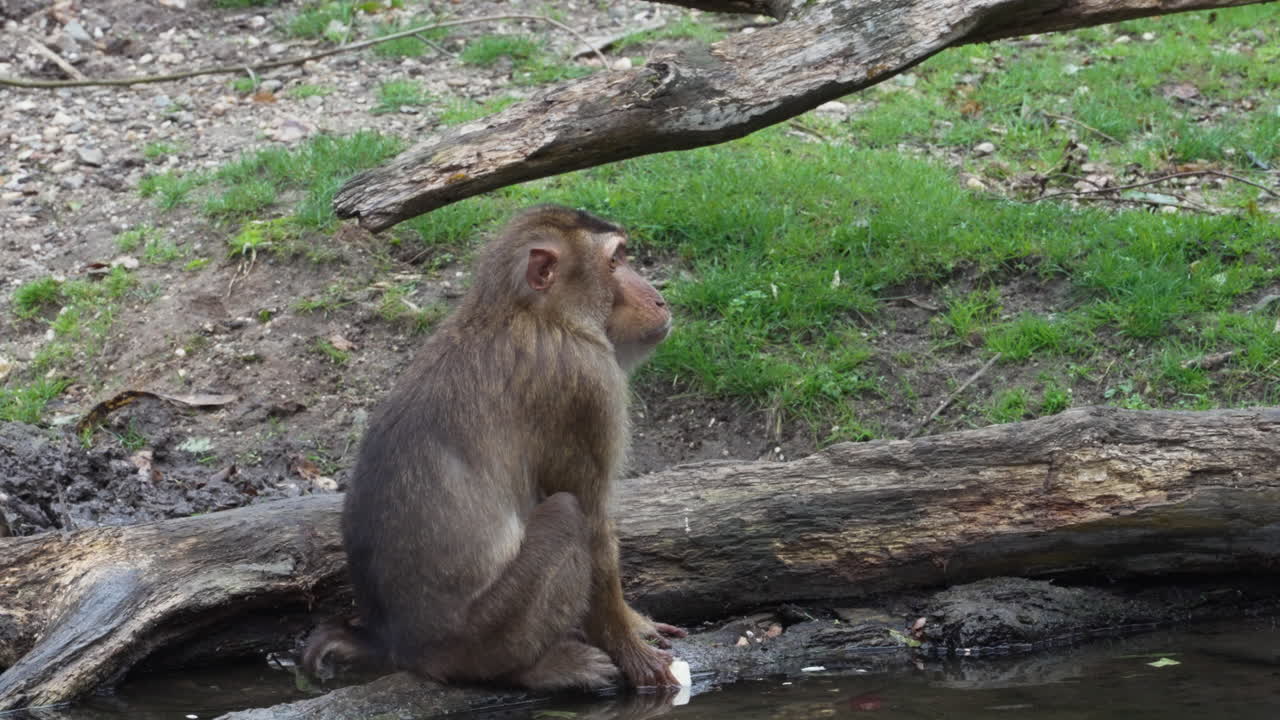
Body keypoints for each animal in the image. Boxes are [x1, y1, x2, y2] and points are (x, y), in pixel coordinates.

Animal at [303, 205, 686, 691]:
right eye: (615, 262)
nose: (659, 300)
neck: (534, 314)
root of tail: (399, 645)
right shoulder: (587, 383)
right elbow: (594, 520)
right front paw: (631, 649)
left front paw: (637, 626)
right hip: (488, 633)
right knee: (567, 515)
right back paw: (538, 669)